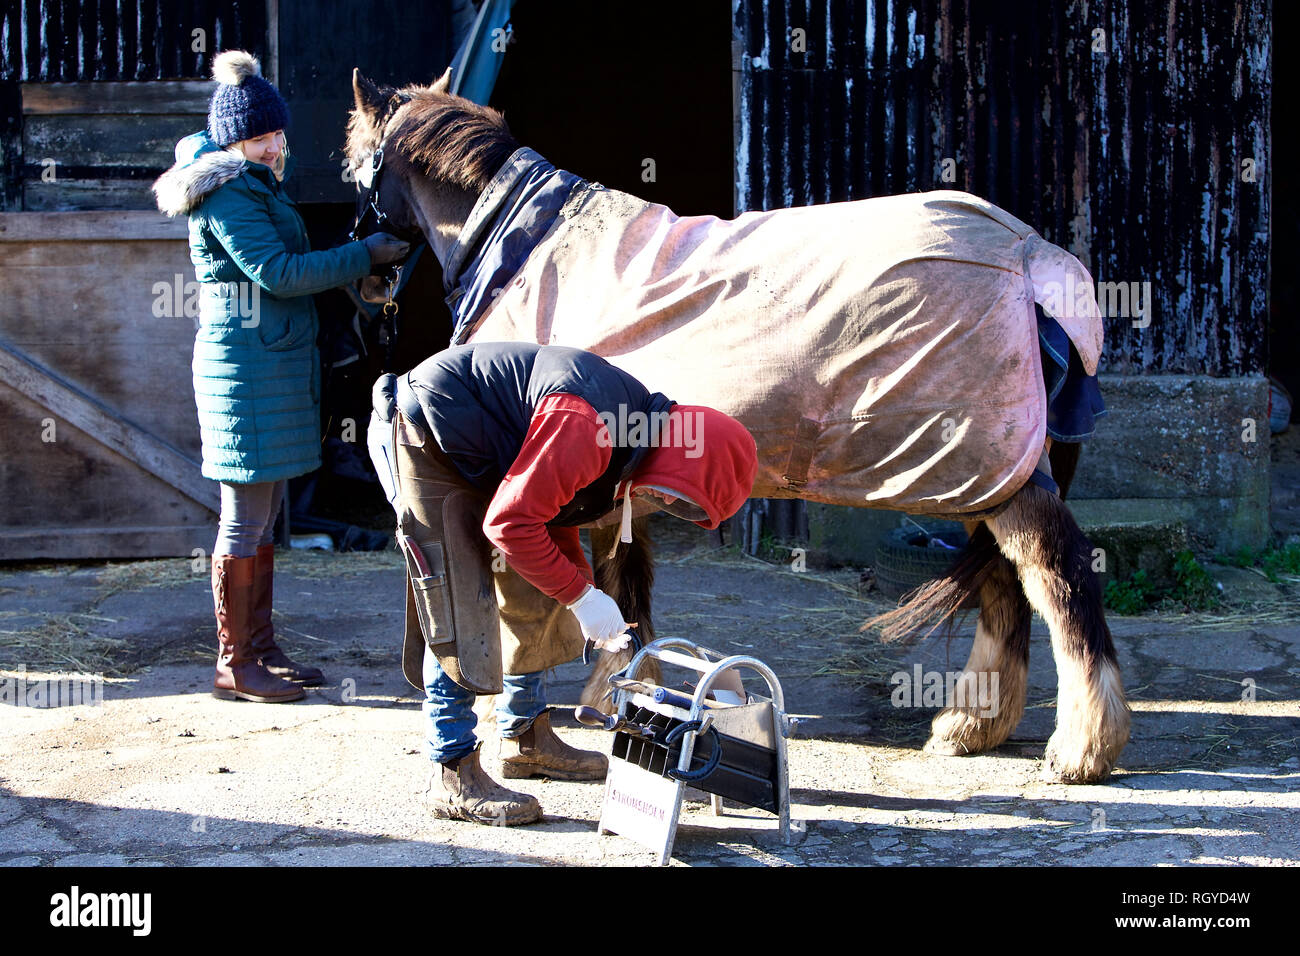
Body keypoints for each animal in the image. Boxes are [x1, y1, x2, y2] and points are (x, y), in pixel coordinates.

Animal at [345, 67, 1128, 785]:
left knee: (1058, 576)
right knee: (1005, 585)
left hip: (987, 468)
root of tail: (1028, 257)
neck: (524, 247)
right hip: (978, 475)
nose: (368, 285)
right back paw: (973, 724)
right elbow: (625, 588)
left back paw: (1082, 748)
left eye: (357, 165)